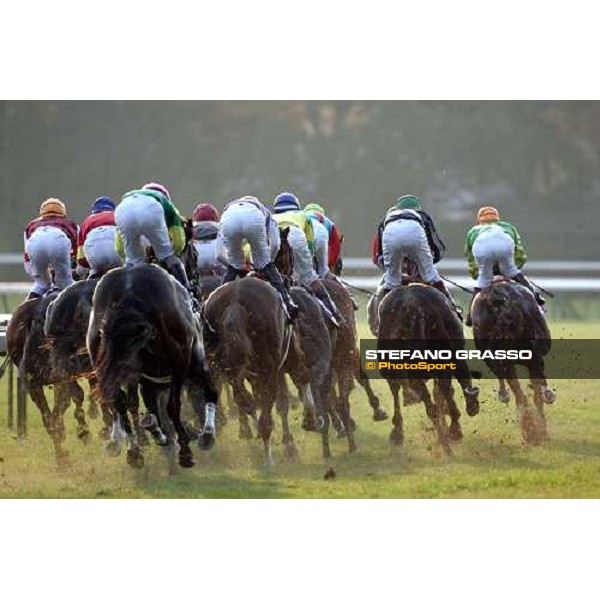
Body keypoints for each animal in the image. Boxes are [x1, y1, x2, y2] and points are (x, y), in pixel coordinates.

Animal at [88, 264, 219, 468]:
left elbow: (150, 409)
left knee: (120, 403)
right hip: (183, 364)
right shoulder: (189, 364)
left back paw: (134, 450)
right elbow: (204, 395)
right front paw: (202, 437)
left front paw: (157, 432)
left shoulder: (146, 380)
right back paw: (186, 447)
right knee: (174, 405)